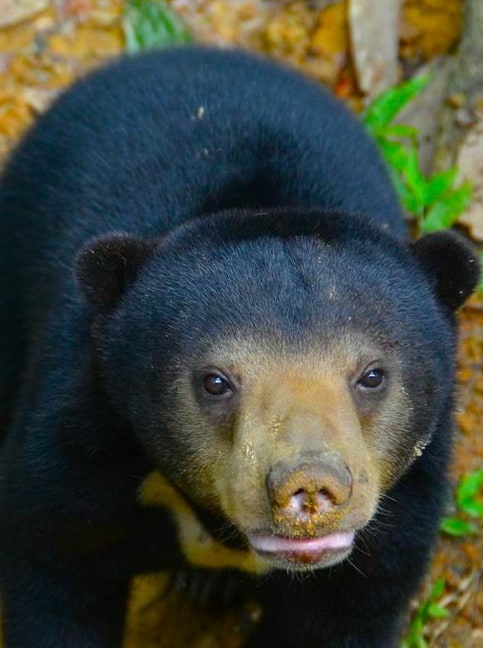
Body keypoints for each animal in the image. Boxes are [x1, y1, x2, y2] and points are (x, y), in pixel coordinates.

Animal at [0, 46, 478, 648]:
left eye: (372, 376)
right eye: (215, 382)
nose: (309, 488)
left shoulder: (401, 516)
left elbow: (342, 614)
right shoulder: (75, 450)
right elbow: (56, 573)